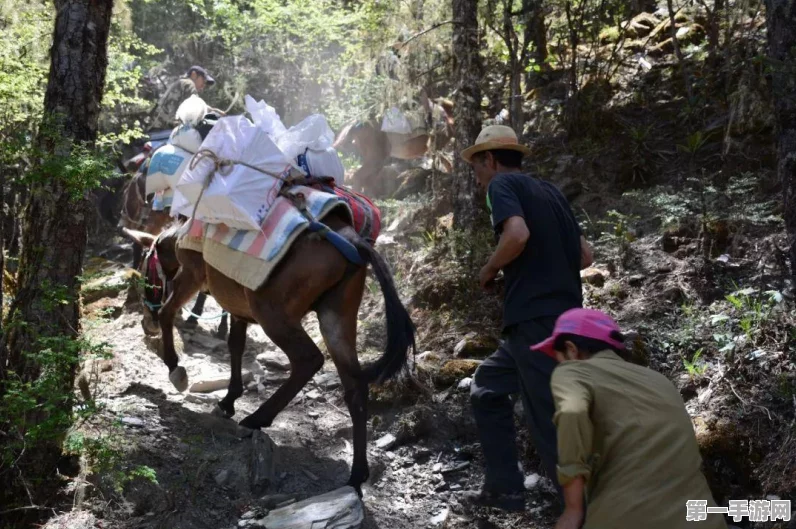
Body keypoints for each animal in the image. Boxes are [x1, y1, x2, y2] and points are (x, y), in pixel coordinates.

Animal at [124, 210, 416, 490]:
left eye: (144, 271)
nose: (146, 324)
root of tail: (352, 241)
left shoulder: (191, 275)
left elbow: (168, 313)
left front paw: (176, 368)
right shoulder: (237, 308)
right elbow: (235, 345)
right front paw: (229, 399)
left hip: (272, 313)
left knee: (308, 359)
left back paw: (258, 418)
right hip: (336, 317)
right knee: (355, 386)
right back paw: (357, 475)